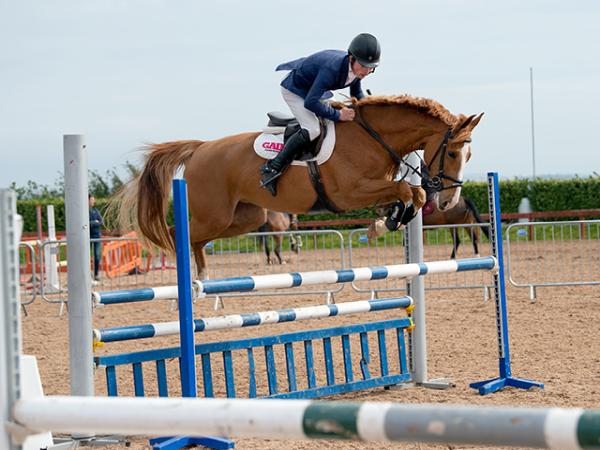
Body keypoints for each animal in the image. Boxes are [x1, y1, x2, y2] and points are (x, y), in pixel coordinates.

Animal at [116, 95, 482, 278]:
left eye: (469, 154)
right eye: (452, 152)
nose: (449, 202)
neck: (371, 135)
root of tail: (200, 148)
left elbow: (410, 194)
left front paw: (388, 220)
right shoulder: (349, 193)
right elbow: (409, 191)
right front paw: (385, 223)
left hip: (242, 218)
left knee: (198, 240)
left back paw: (202, 276)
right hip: (214, 214)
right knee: (176, 234)